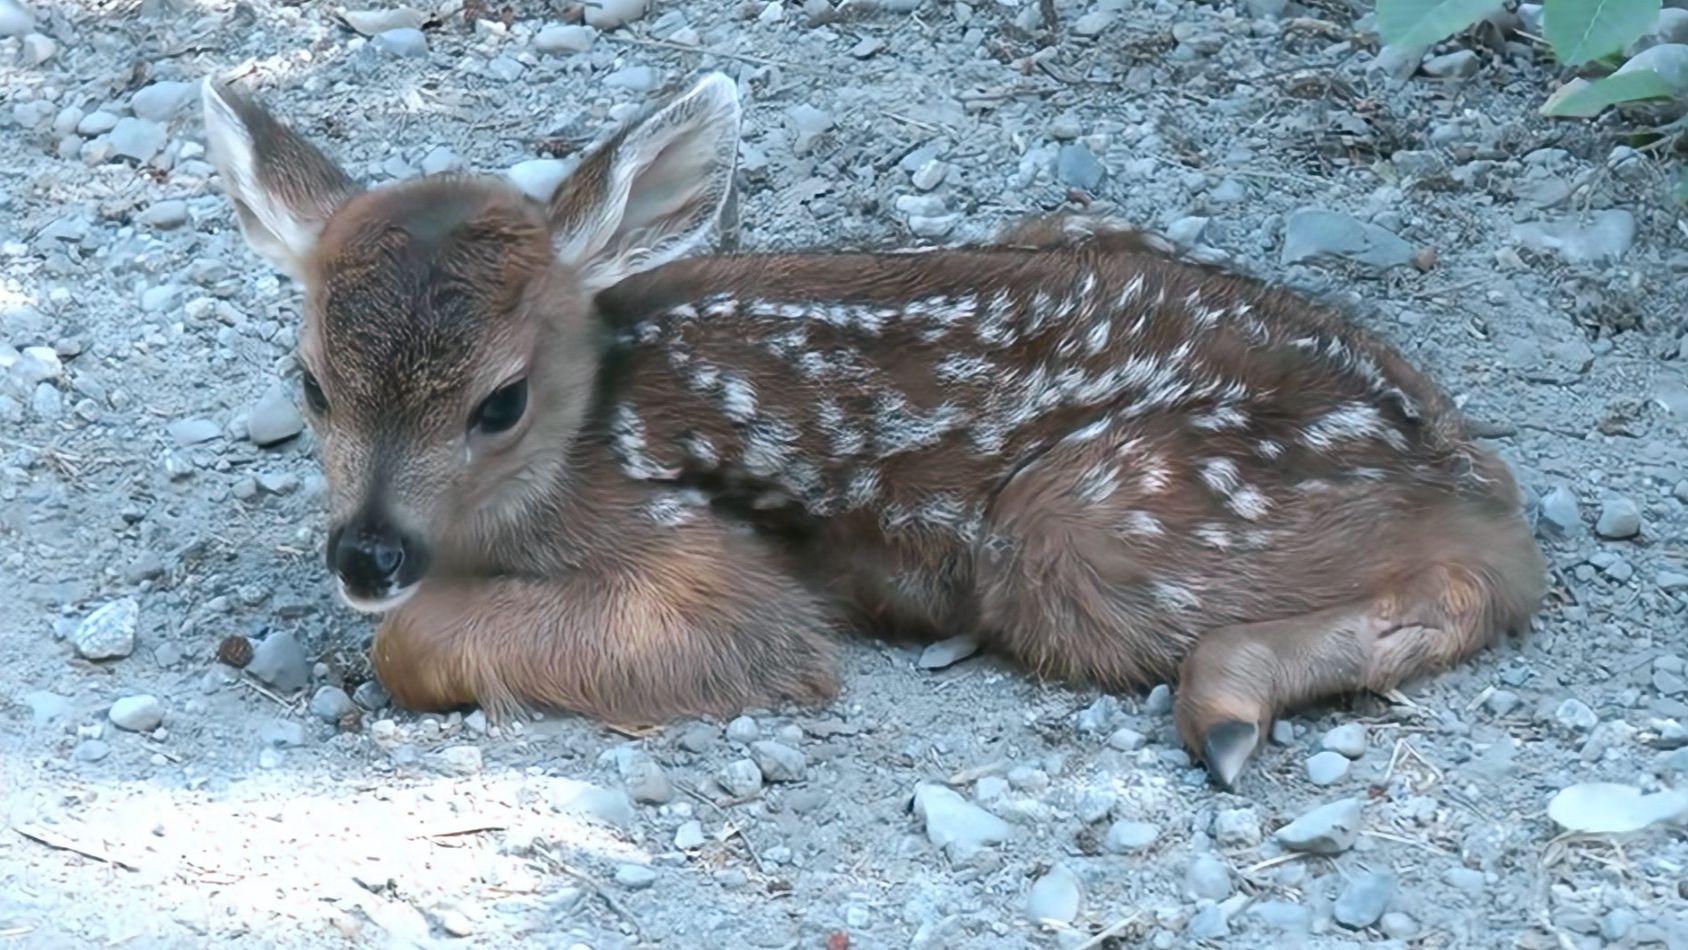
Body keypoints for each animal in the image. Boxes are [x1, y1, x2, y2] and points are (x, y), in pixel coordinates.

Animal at [202, 70, 1548, 789]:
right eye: (308, 380)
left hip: (1087, 521)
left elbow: (417, 642)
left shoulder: (702, 559)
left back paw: (1221, 704)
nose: (366, 553)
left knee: (1483, 580)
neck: (582, 439)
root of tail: (1449, 456)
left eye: (499, 401)